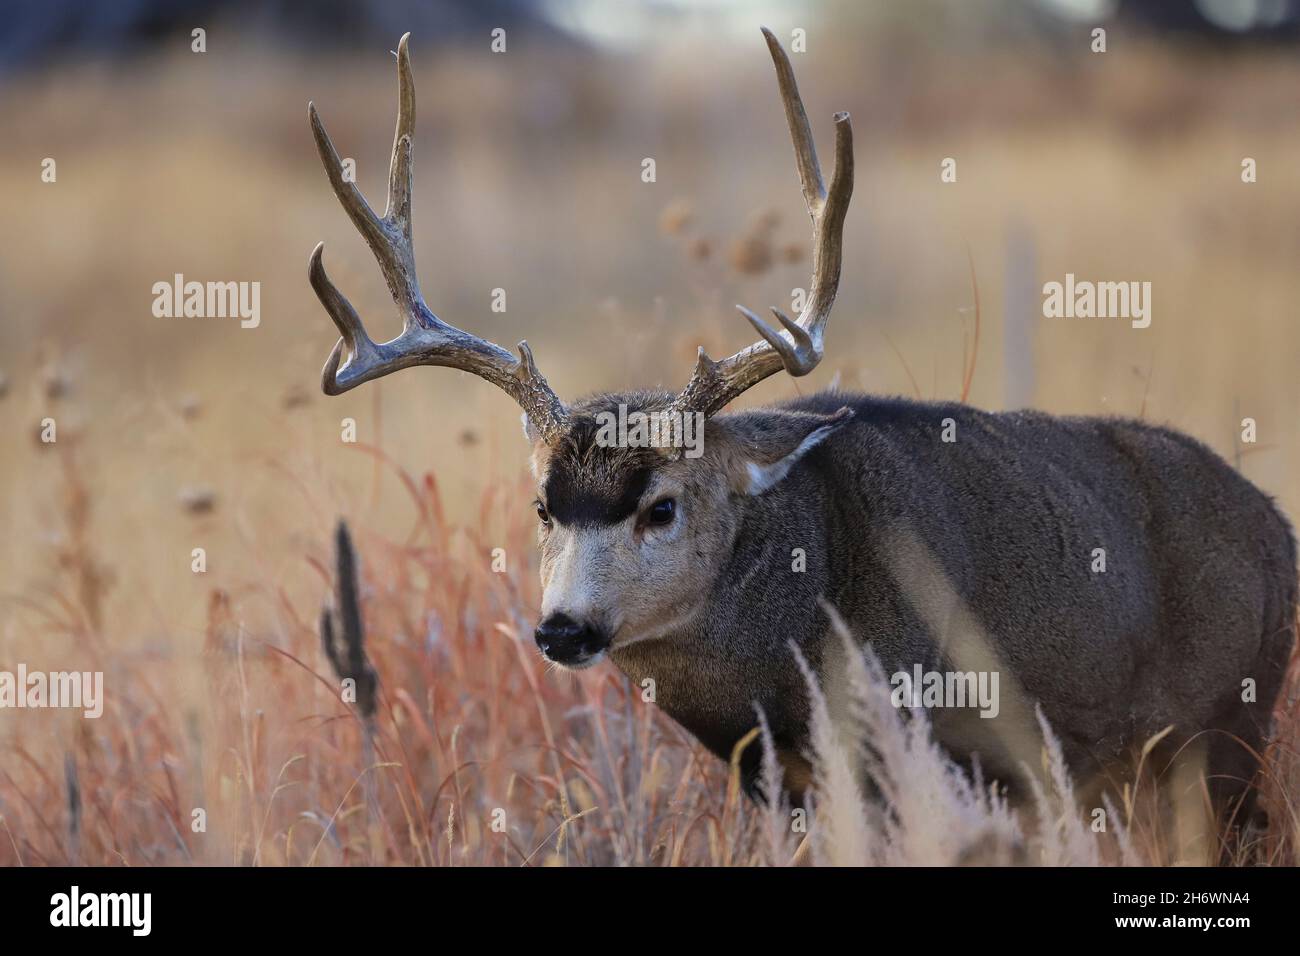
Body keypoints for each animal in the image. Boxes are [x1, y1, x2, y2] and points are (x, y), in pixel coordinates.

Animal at [304, 31, 1289, 837]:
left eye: (662, 506)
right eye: (544, 507)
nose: (562, 629)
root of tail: (1278, 527)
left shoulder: (923, 739)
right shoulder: (783, 785)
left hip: (1230, 734)